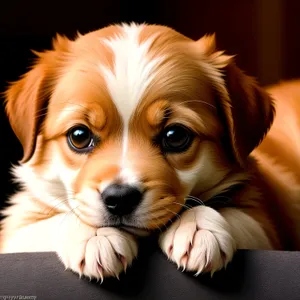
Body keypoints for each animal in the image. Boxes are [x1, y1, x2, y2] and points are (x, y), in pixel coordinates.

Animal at [0, 23, 300, 282]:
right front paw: (96, 236)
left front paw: (197, 227)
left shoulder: (268, 226)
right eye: (79, 136)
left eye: (175, 136)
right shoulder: (15, 229)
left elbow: (234, 212)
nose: (119, 198)